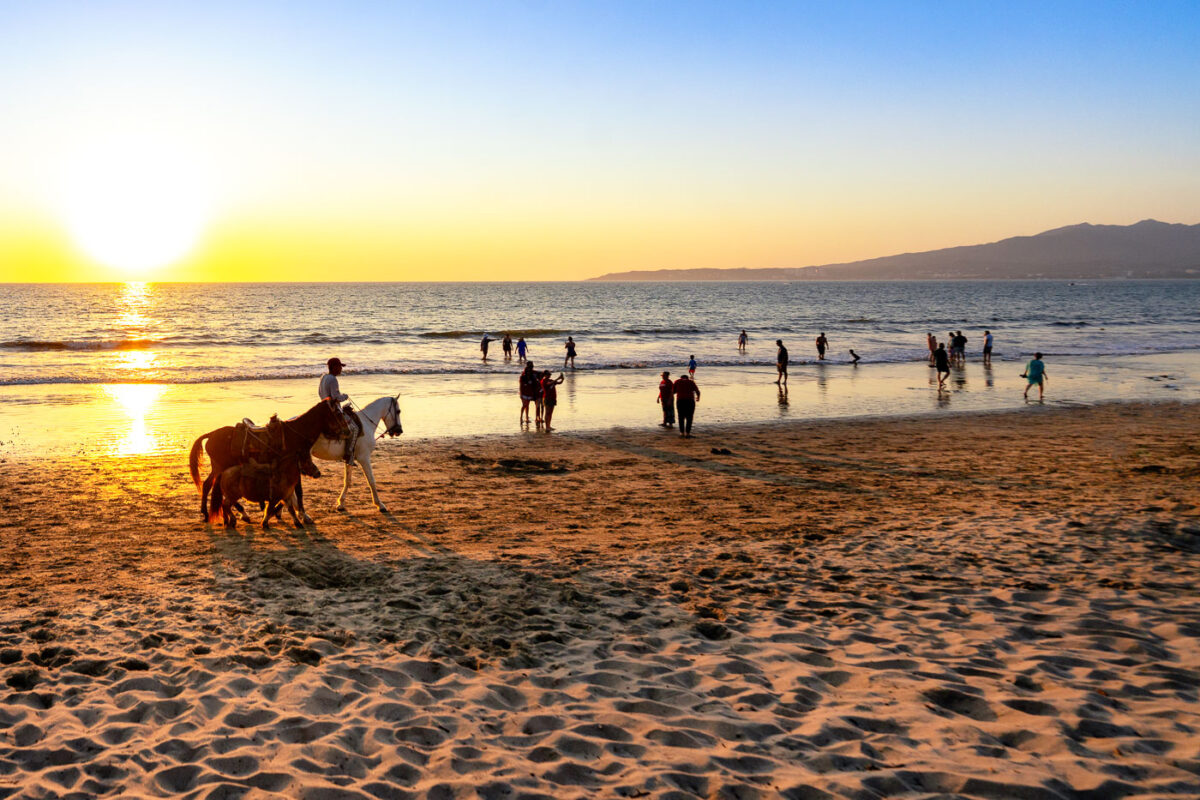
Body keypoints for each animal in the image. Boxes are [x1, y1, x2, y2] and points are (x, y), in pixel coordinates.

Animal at [187, 400, 348, 525]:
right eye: (338, 413)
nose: (347, 431)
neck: (293, 435)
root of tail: (211, 434)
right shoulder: (296, 467)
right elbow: (298, 492)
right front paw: (303, 515)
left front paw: (279, 512)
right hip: (221, 466)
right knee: (214, 487)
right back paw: (238, 513)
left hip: (218, 467)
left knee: (208, 485)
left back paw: (212, 513)